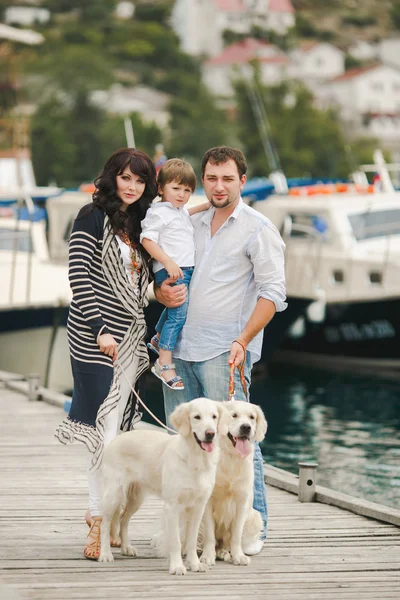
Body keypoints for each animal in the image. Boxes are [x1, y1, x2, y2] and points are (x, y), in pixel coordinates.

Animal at [98, 396, 227, 576]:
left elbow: (192, 540)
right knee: (105, 524)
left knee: (123, 520)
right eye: (197, 417)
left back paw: (126, 548)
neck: (195, 459)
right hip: (113, 495)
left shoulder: (198, 506)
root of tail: (115, 439)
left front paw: (195, 564)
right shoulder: (172, 506)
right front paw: (177, 566)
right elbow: (175, 541)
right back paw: (105, 554)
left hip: (136, 498)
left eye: (214, 417)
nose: (210, 434)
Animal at [200, 404, 268, 568]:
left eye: (252, 417)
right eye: (234, 415)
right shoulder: (207, 501)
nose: (246, 427)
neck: (231, 456)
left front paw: (238, 556)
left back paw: (223, 551)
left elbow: (236, 534)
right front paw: (207, 556)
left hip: (255, 517)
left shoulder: (241, 501)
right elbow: (209, 534)